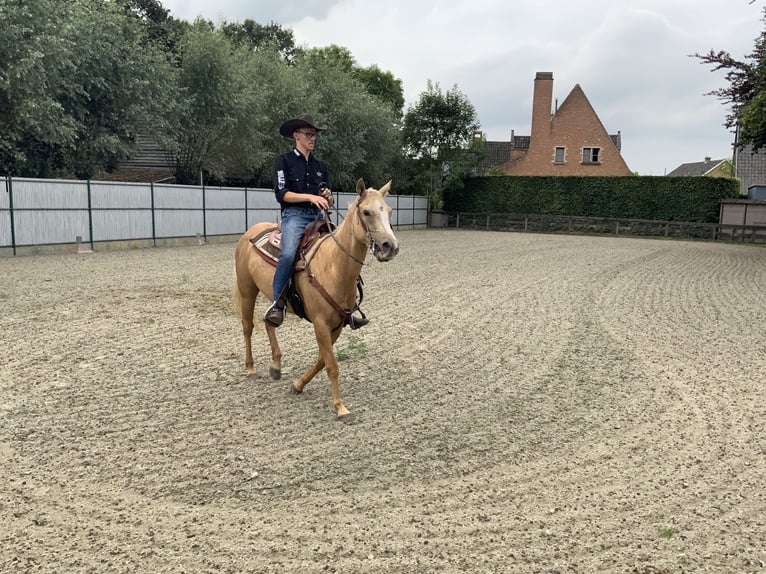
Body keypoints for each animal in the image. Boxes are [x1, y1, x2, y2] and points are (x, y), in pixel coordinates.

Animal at [234, 178, 402, 420]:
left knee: (269, 321)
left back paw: (276, 366)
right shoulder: (320, 324)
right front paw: (340, 407)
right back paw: (250, 368)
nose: (390, 247)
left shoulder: (337, 325)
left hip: (272, 296)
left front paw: (298, 384)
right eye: (366, 212)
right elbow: (332, 364)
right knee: (247, 326)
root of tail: (250, 232)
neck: (334, 265)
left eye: (388, 211)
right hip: (247, 289)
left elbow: (323, 360)